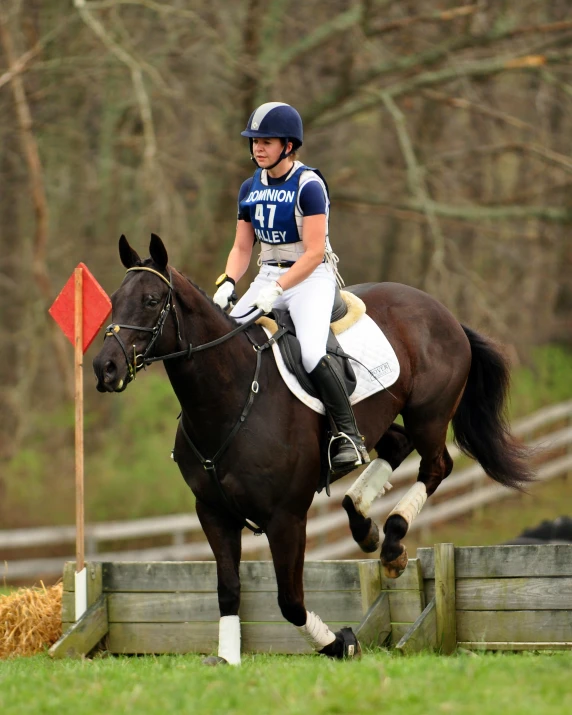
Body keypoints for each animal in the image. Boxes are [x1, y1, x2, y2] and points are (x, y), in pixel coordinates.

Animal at [91, 236, 536, 664]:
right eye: (113, 299)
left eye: (152, 301)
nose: (104, 368)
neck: (231, 394)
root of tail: (440, 310)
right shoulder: (214, 513)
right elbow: (228, 590)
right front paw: (228, 658)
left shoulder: (286, 518)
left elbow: (290, 601)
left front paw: (341, 643)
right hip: (379, 420)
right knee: (394, 445)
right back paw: (363, 522)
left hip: (429, 415)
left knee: (435, 467)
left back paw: (392, 541)